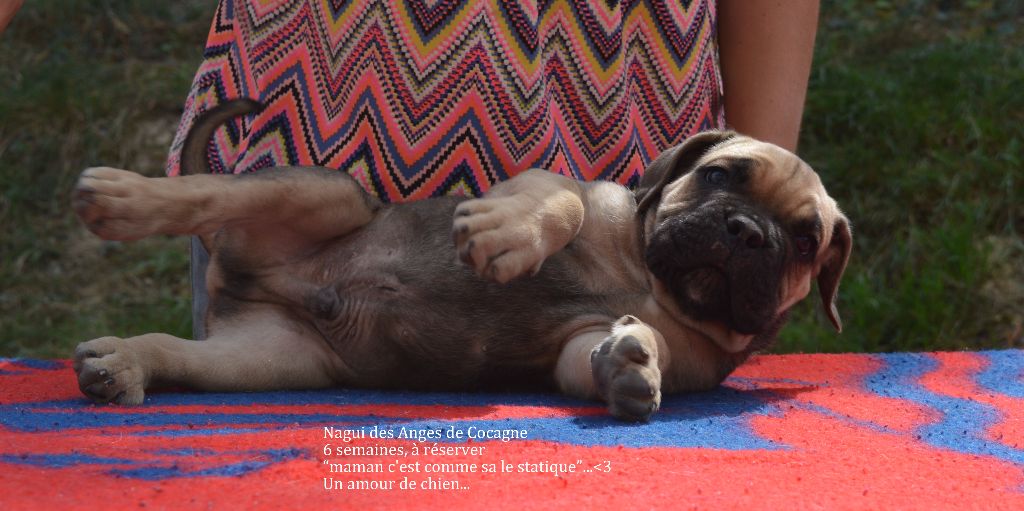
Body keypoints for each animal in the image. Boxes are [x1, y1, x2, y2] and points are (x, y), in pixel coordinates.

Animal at [71, 99, 851, 421]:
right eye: (720, 176)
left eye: (804, 240)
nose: (747, 232)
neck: (651, 279)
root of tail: (258, 281)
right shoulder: (554, 185)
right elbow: (556, 207)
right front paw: (505, 236)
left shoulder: (581, 348)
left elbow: (610, 352)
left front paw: (634, 364)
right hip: (325, 194)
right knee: (202, 192)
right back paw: (123, 197)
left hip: (268, 358)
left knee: (183, 351)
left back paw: (124, 362)